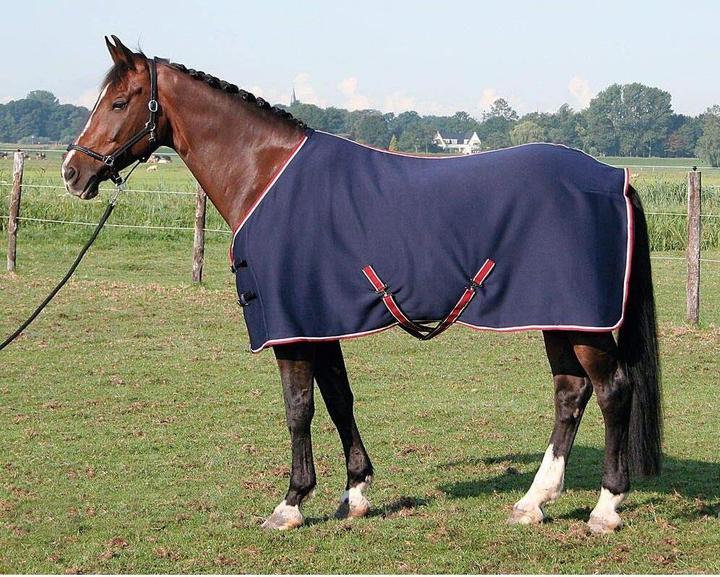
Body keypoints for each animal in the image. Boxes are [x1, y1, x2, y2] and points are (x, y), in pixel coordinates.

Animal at [61, 36, 661, 533]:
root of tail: (614, 178)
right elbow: (338, 399)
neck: (266, 175)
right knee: (570, 394)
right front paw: (355, 494)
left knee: (612, 391)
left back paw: (606, 507)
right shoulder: (319, 322)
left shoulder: (292, 329)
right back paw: (533, 502)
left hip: (581, 323)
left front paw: (291, 503)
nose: (72, 172)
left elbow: (299, 407)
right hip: (557, 317)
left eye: (120, 103)